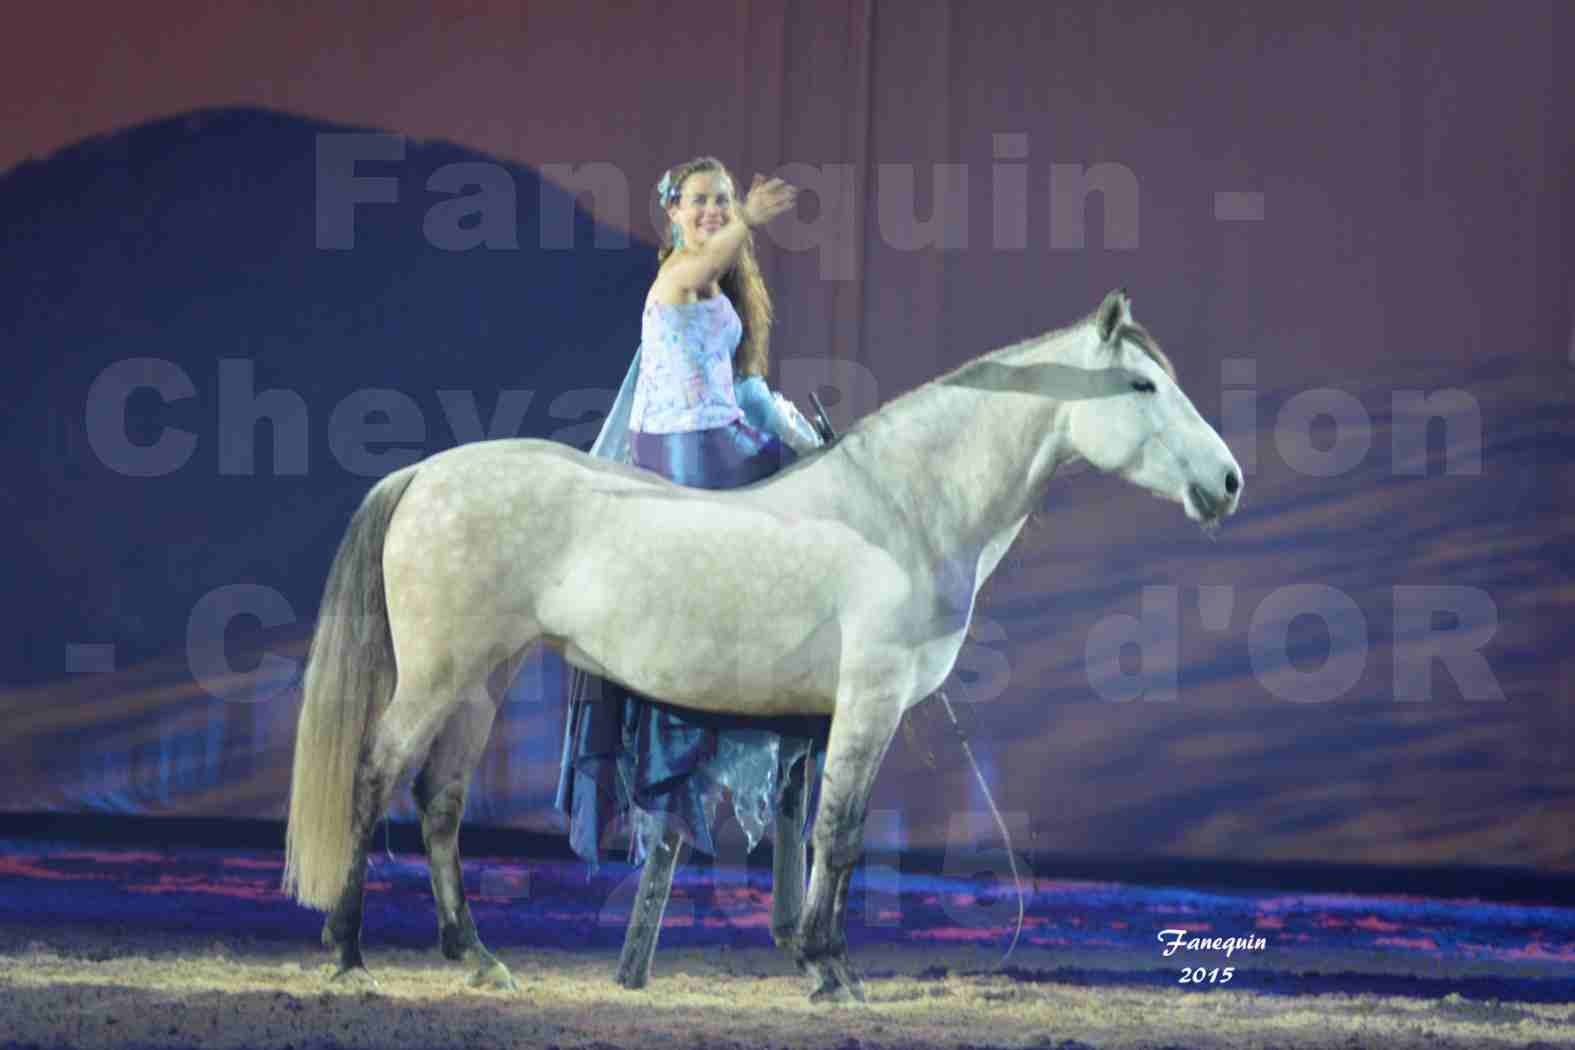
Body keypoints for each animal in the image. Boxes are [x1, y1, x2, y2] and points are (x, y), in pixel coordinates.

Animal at [283, 289, 1241, 1001]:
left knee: (439, 799)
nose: (1228, 481)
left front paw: (820, 959)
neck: (901, 508)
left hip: (483, 678)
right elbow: (840, 833)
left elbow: (821, 832)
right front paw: (829, 968)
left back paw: (476, 957)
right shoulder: (868, 700)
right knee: (373, 775)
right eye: (1142, 387)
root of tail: (425, 475)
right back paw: (349, 951)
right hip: (439, 676)